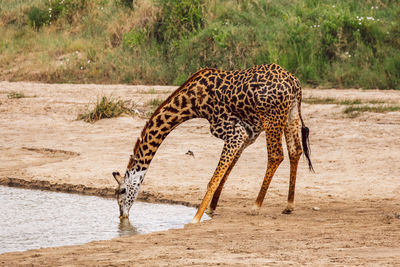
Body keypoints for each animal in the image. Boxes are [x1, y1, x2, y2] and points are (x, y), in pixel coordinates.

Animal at [112, 63, 312, 223]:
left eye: (122, 191)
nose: (122, 215)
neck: (192, 102)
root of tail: (294, 82)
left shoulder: (234, 133)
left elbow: (213, 179)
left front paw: (195, 218)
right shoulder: (246, 135)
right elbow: (225, 173)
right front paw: (211, 209)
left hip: (272, 118)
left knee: (276, 155)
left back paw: (256, 206)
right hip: (290, 114)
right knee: (295, 150)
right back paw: (289, 206)